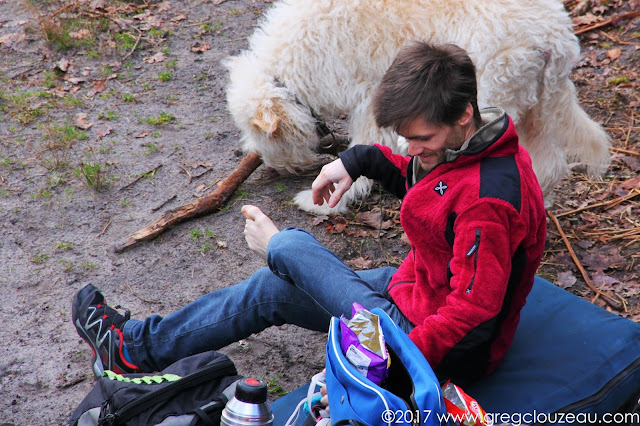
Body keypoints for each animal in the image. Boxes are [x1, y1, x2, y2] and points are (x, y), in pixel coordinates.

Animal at [225, 0, 608, 213]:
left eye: (262, 136)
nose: (273, 168)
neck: (290, 70)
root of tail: (554, 37)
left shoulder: (368, 100)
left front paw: (328, 202)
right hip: (537, 104)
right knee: (549, 164)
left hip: (490, 96)